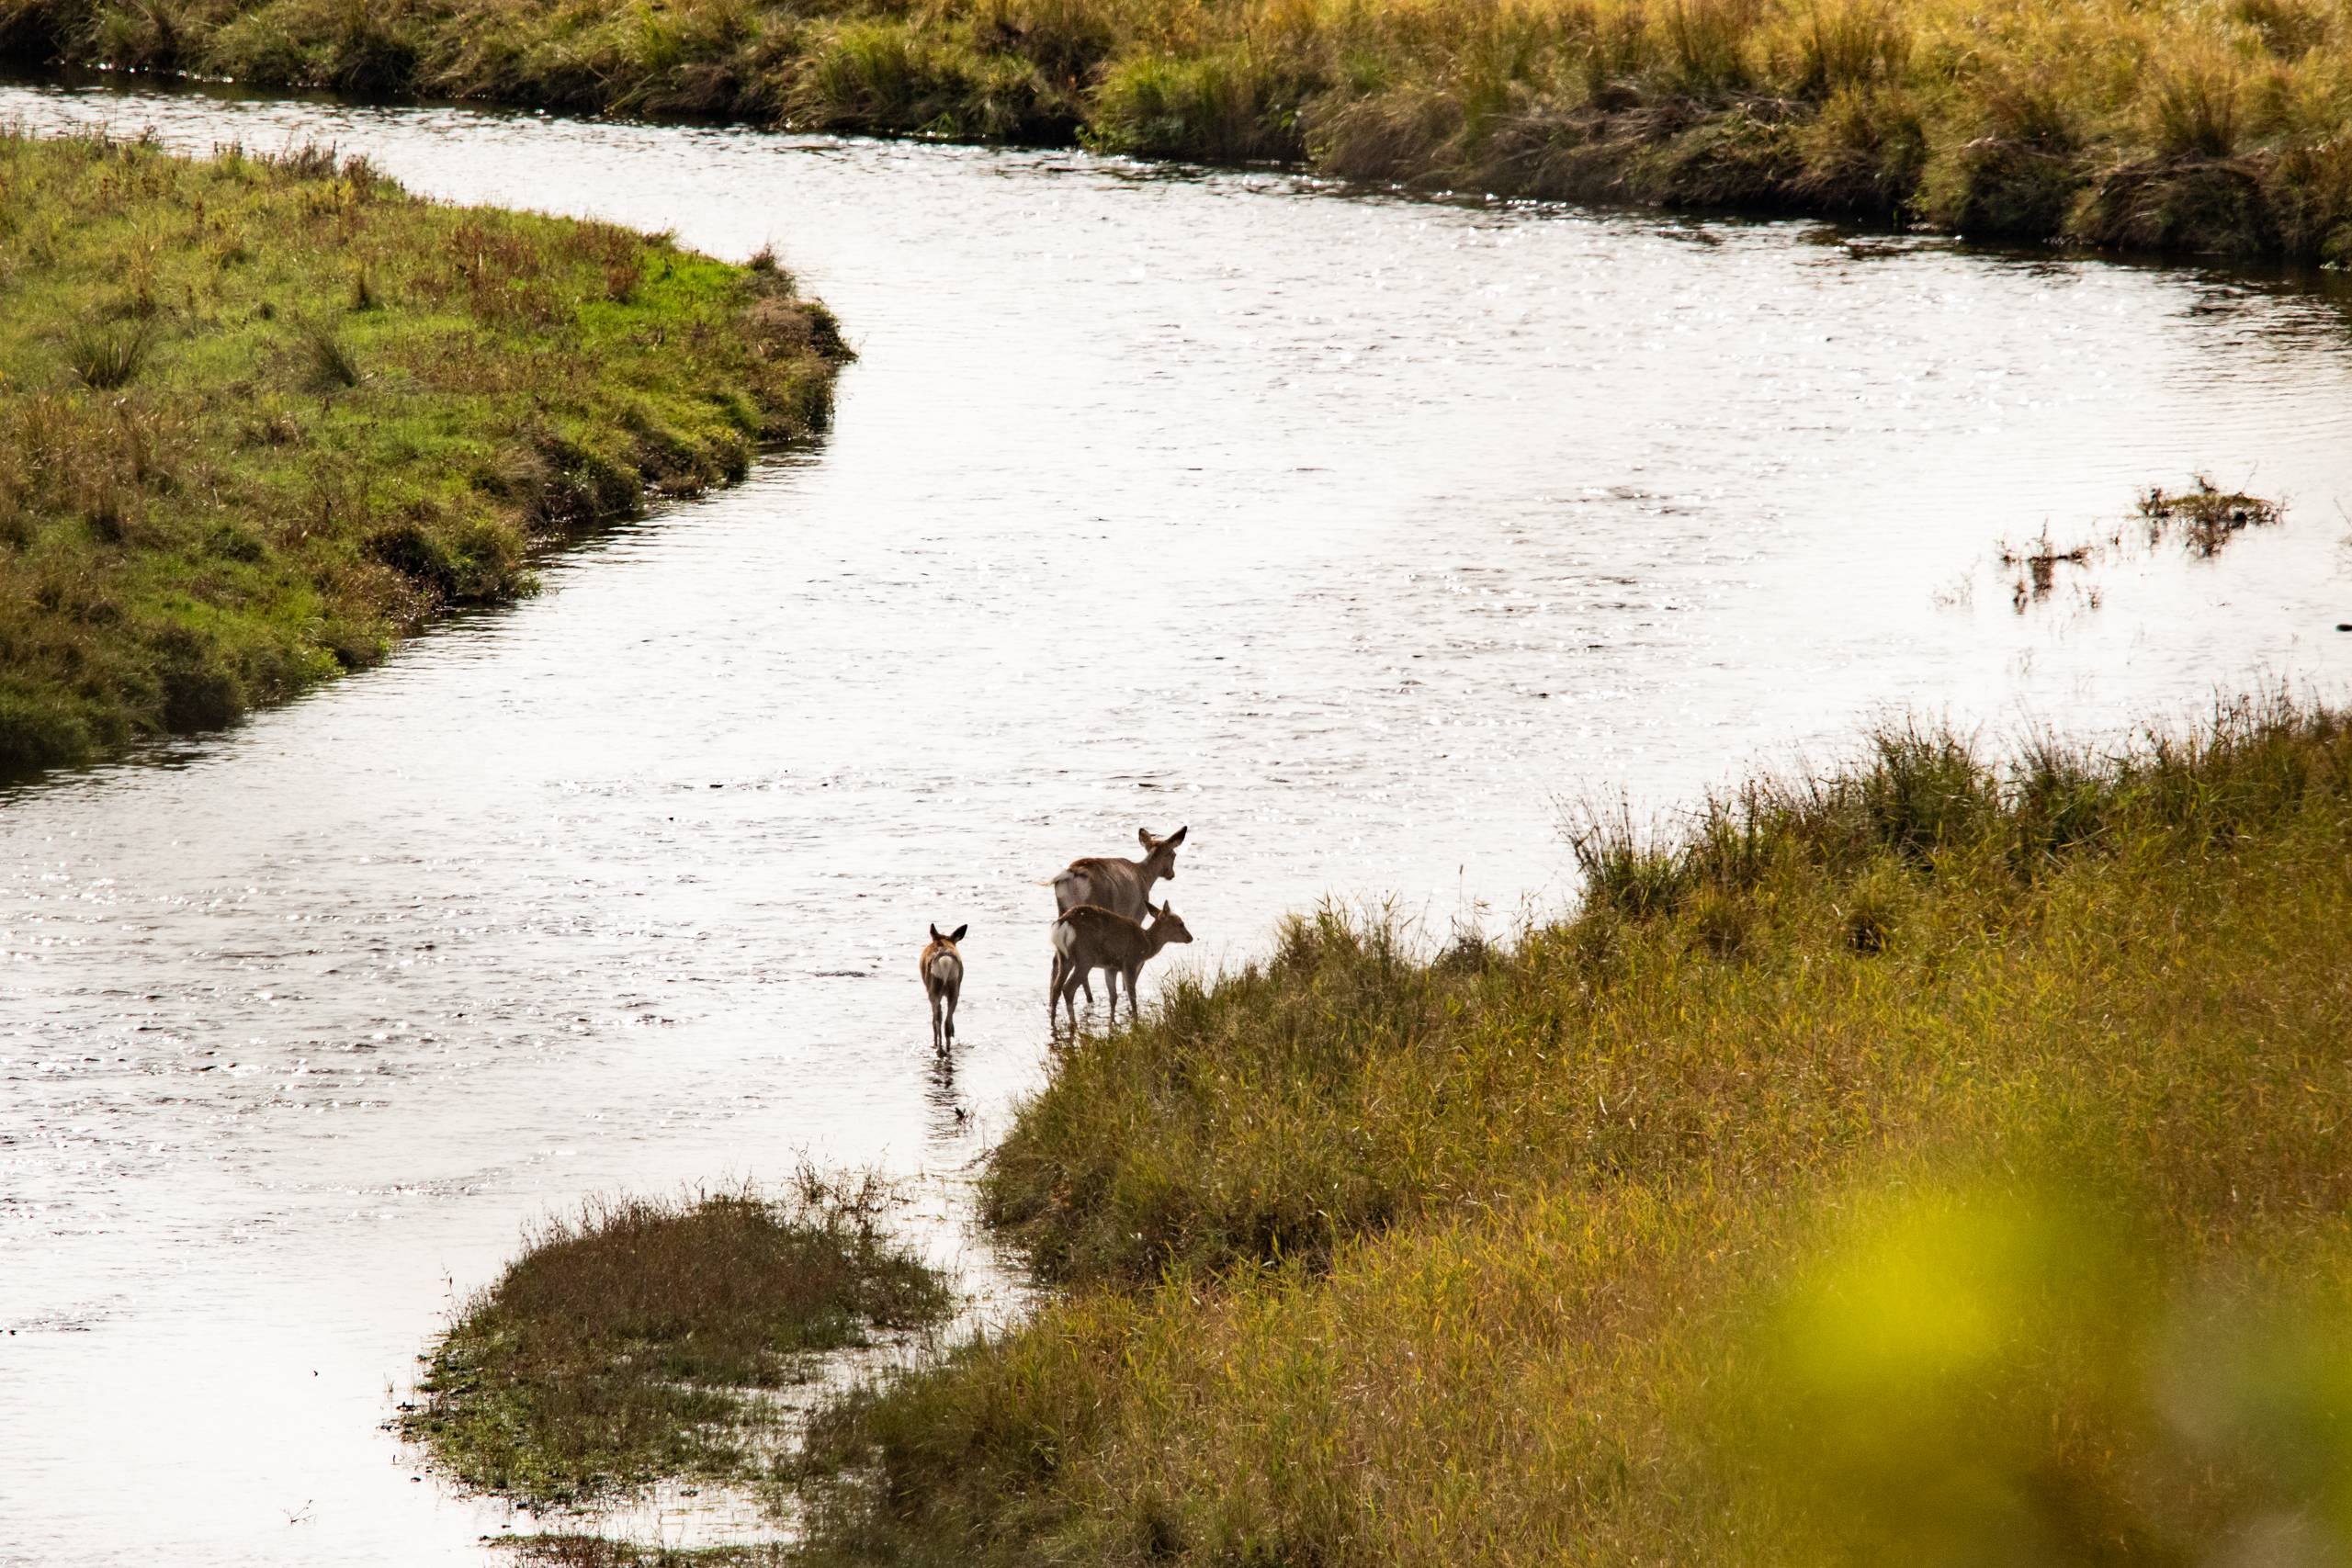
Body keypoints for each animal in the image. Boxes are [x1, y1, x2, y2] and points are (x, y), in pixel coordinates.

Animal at [919, 924, 966, 1054]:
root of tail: (945, 961)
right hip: (954, 990)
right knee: (947, 1022)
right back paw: (948, 1048)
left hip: (934, 990)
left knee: (937, 1019)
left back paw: (938, 1047)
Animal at [1047, 825, 1187, 1009]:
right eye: (1174, 854)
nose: (1172, 874)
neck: (1145, 876)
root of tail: (1071, 874)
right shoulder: (1137, 914)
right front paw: (1126, 990)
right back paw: (1089, 999)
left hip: (1062, 910)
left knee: (1056, 960)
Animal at [1050, 901, 1193, 1031]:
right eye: (1180, 923)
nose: (1190, 937)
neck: (1147, 945)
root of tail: (1064, 922)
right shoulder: (1130, 962)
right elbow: (1132, 995)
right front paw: (1135, 1021)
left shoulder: (1110, 967)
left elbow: (1113, 997)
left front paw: (1112, 1022)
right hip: (1085, 957)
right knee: (1068, 988)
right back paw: (1073, 1024)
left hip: (1064, 957)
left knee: (1056, 987)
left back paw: (1053, 1022)